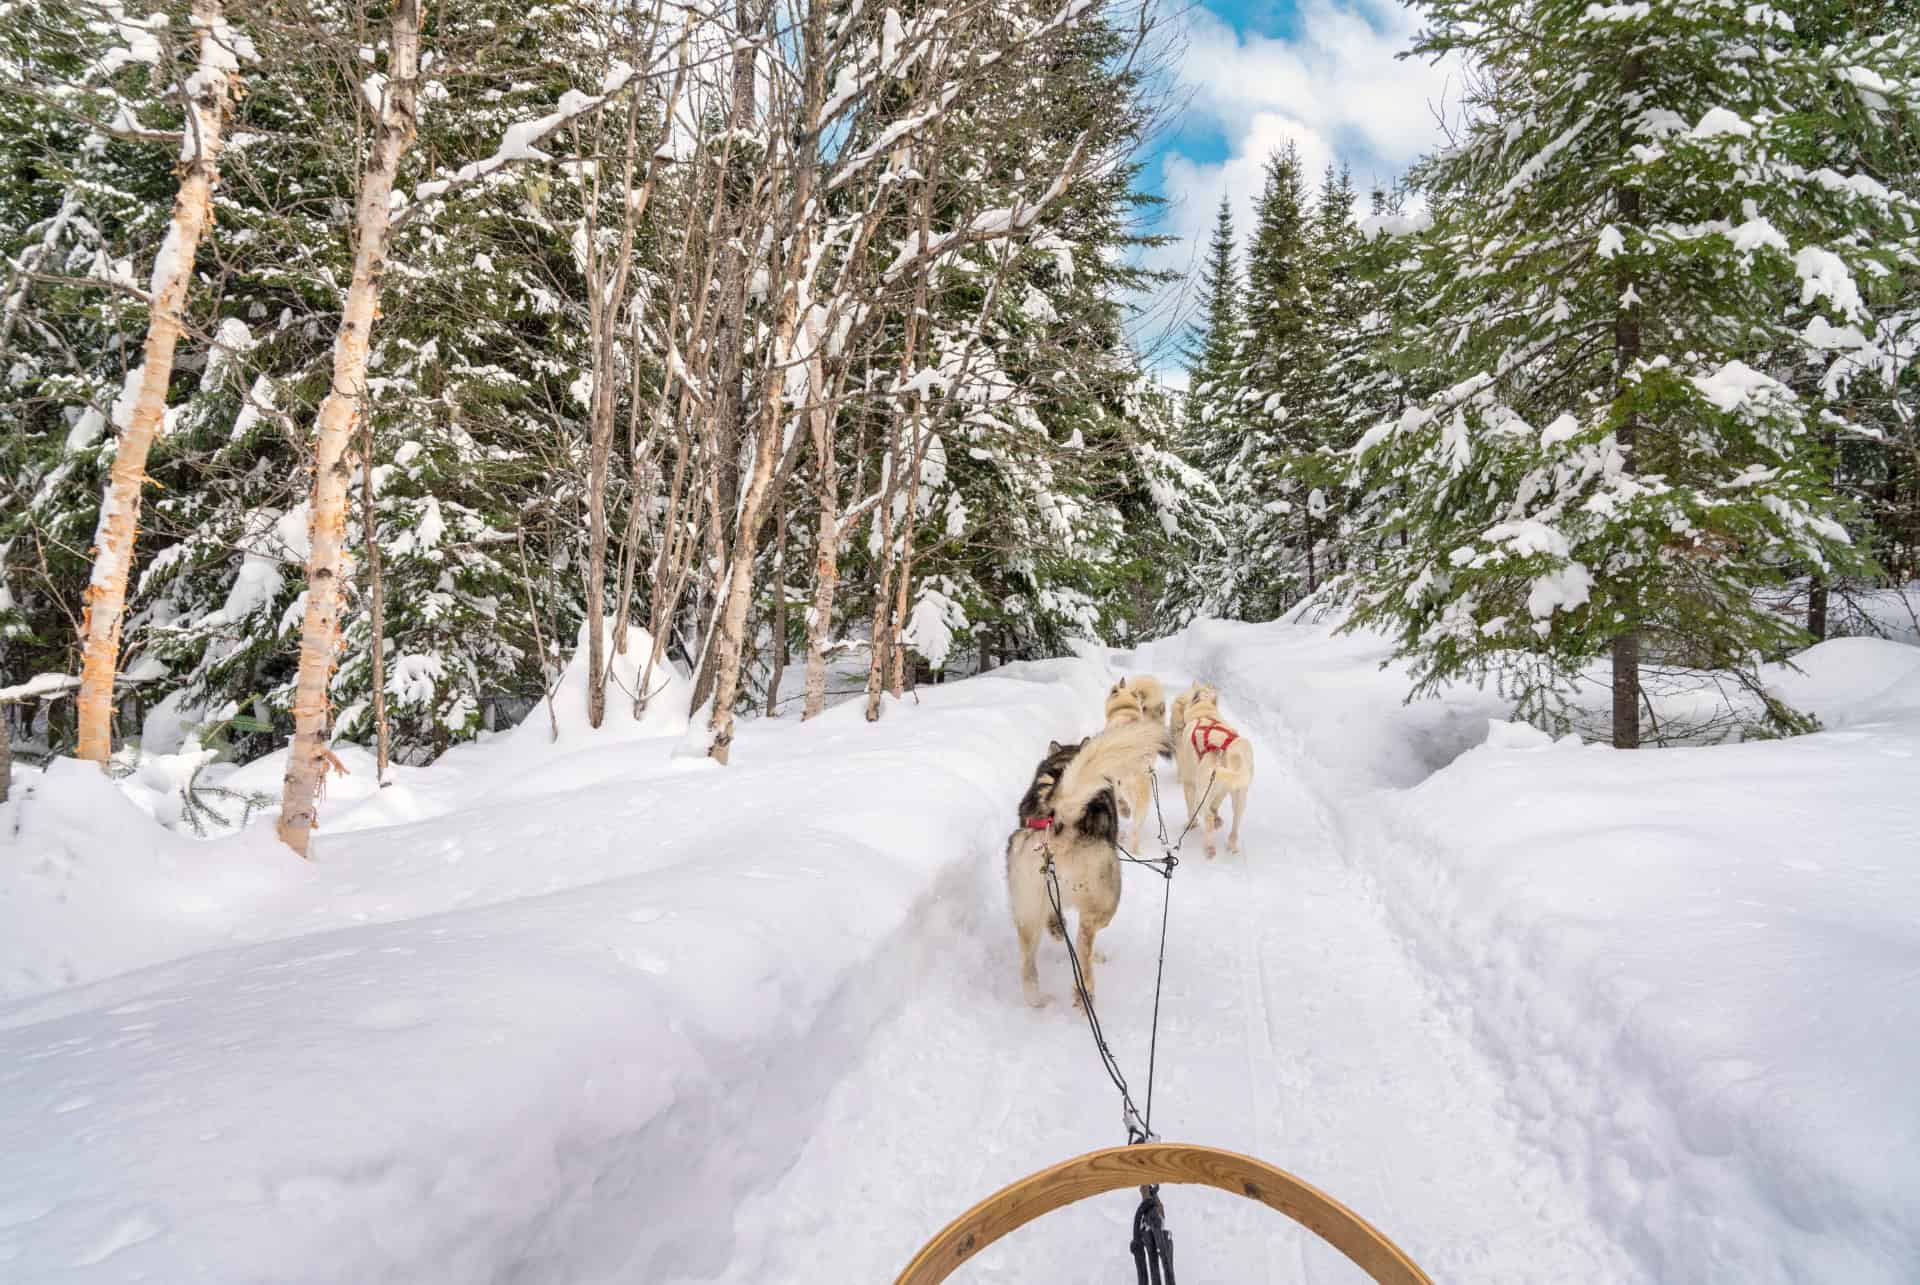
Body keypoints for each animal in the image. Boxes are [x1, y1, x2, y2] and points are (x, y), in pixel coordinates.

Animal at [1006, 722, 1167, 998]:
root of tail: (1058, 818)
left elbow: (1054, 916)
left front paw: (1057, 928)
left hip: (1027, 909)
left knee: (1028, 965)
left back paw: (1038, 999)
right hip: (1105, 901)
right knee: (1084, 944)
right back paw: (1085, 990)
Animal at [1175, 679, 1251, 860]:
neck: (1205, 713)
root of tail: (1226, 750)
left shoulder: (1189, 784)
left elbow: (1191, 809)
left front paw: (1191, 824)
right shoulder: (1221, 790)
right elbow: (1215, 805)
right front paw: (1218, 818)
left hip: (1202, 792)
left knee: (1207, 816)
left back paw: (1209, 847)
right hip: (1239, 795)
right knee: (1235, 820)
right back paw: (1231, 844)